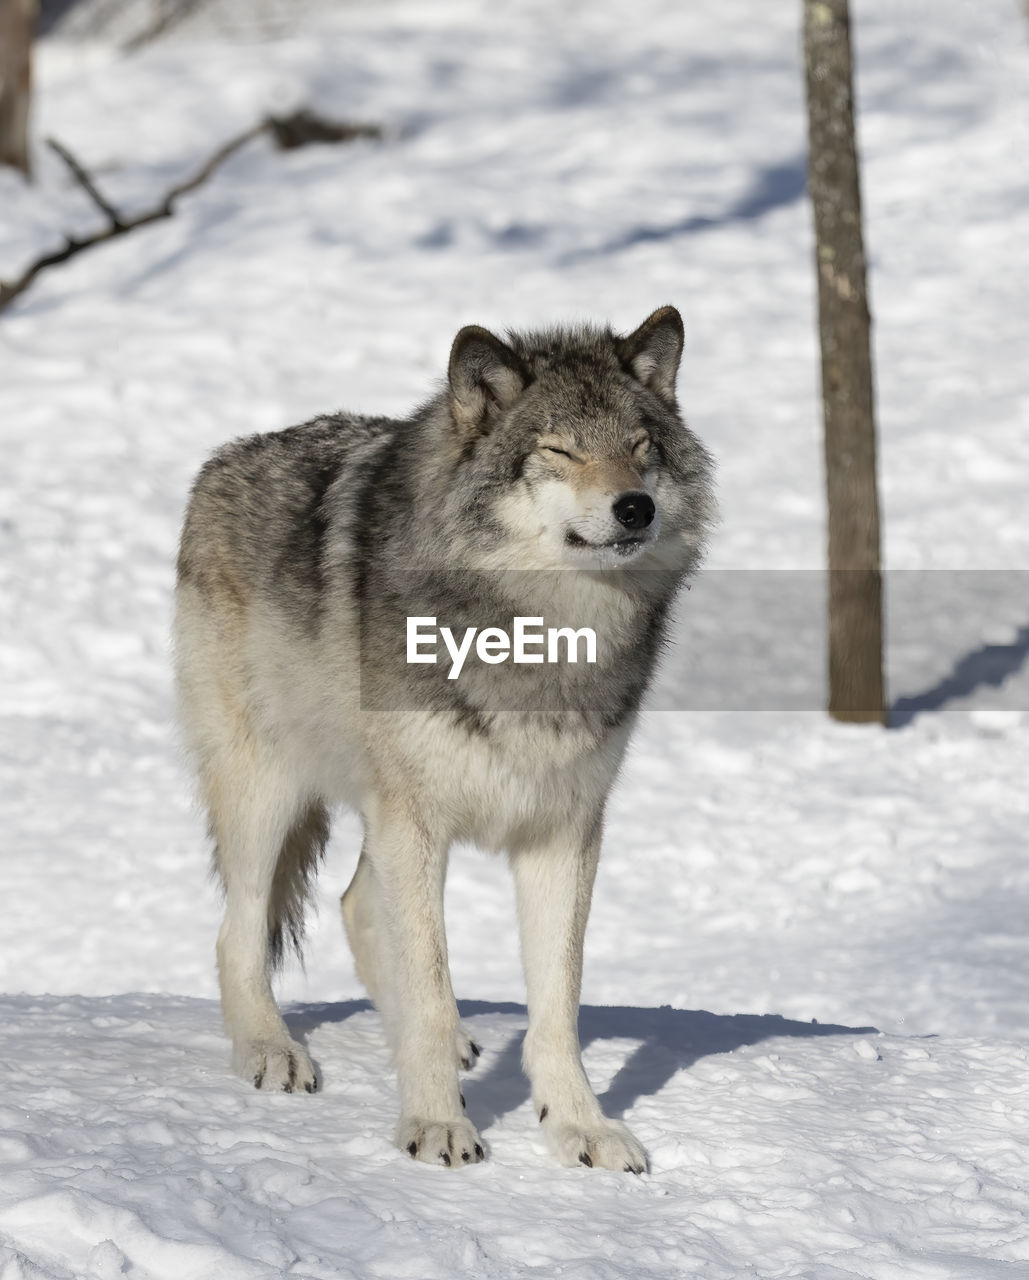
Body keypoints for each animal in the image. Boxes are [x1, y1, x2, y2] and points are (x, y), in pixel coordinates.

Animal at [175, 307, 716, 1172]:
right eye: (558, 449)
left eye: (641, 447)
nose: (635, 508)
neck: (539, 636)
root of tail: (225, 459)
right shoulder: (417, 821)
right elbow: (428, 986)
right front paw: (434, 1126)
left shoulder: (563, 831)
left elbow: (556, 1007)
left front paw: (580, 1128)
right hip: (272, 791)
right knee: (240, 931)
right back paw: (270, 1050)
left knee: (357, 906)